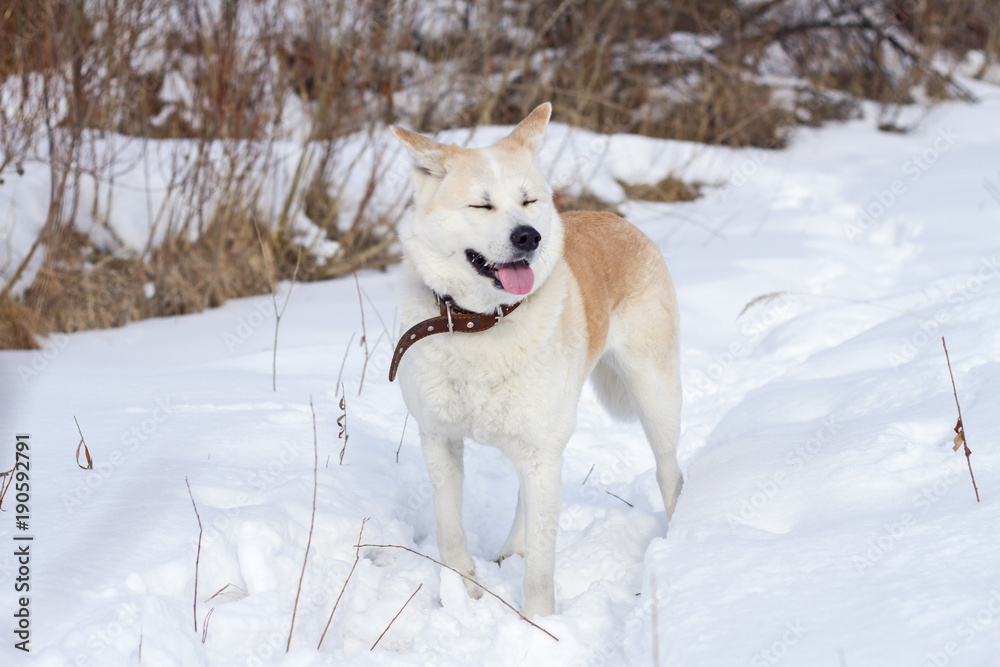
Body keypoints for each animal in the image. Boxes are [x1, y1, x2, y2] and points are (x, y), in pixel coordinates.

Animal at [386, 102, 684, 620]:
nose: (529, 236)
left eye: (527, 201)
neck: (481, 322)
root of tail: (619, 218)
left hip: (655, 398)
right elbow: (450, 533)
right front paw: (464, 599)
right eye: (482, 205)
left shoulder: (542, 450)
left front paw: (539, 627)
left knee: (671, 474)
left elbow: (542, 573)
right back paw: (509, 553)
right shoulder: (439, 439)